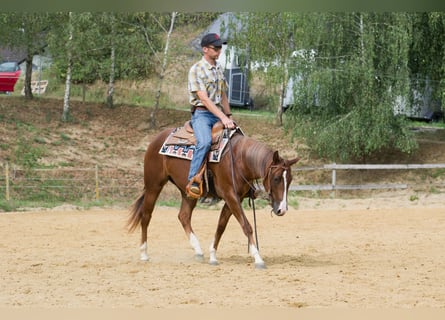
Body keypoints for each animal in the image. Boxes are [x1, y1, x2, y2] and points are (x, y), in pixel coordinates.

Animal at [127, 124, 298, 268]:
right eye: (276, 179)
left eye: (289, 180)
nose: (282, 209)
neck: (239, 159)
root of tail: (156, 139)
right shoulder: (231, 196)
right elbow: (246, 226)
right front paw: (258, 258)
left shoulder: (234, 199)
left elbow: (221, 226)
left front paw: (213, 256)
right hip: (153, 185)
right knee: (146, 215)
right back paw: (144, 253)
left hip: (188, 192)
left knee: (183, 216)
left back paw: (198, 251)